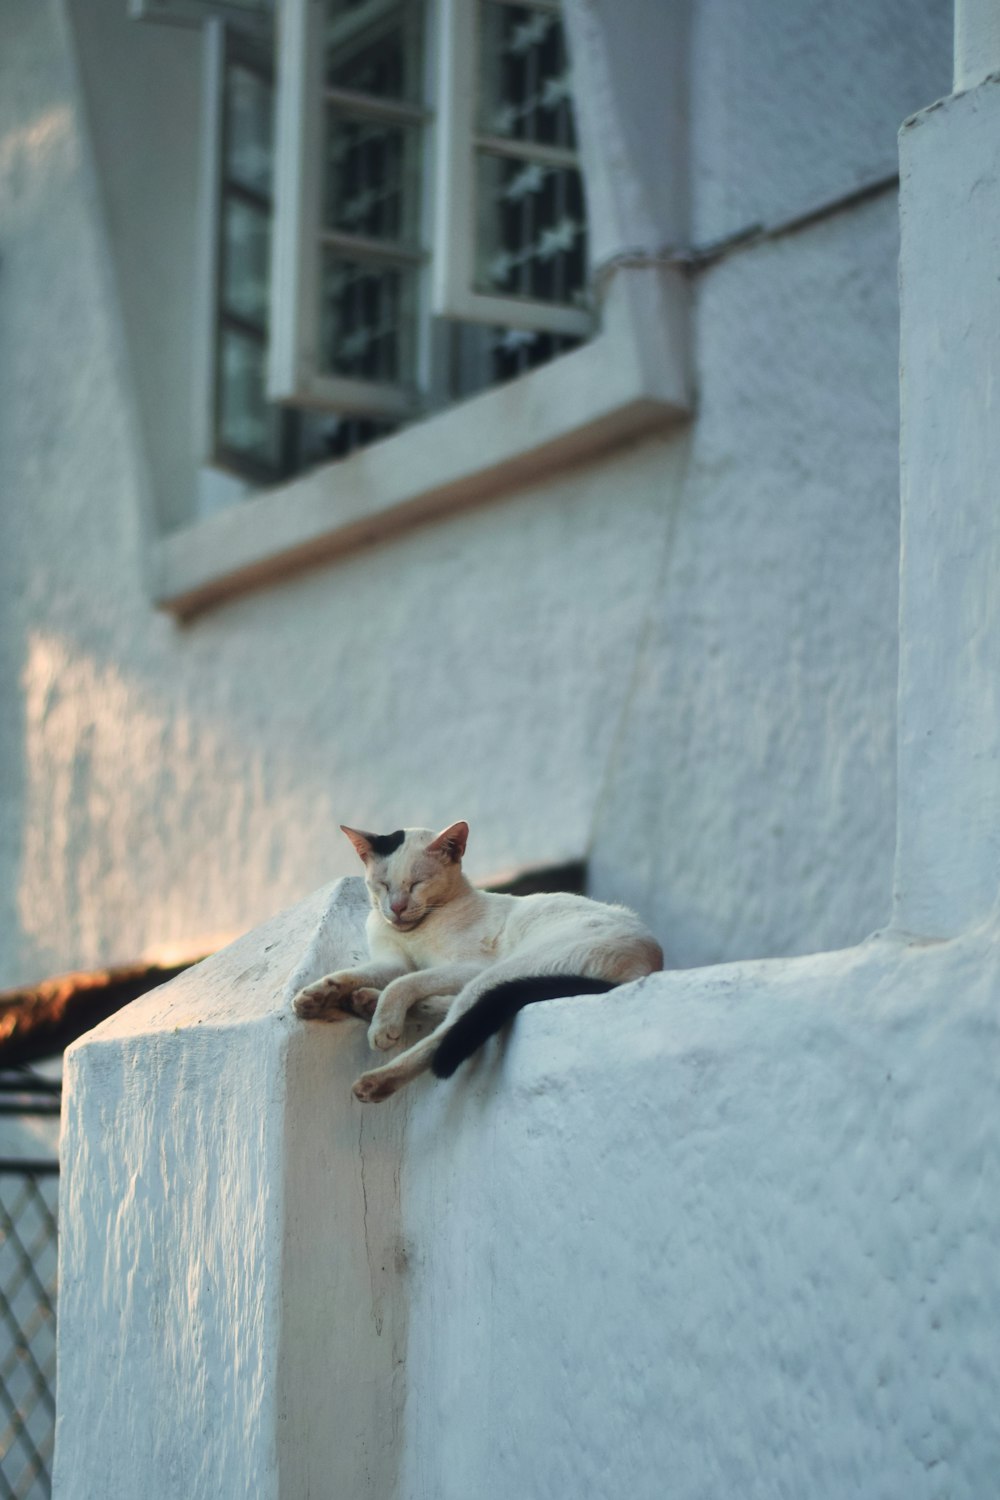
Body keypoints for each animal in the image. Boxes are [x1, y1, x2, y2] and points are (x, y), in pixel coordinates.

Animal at [290, 822, 665, 1104]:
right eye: (382, 885)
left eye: (417, 884)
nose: (396, 908)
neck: (415, 931)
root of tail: (650, 960)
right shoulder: (395, 962)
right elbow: (360, 974)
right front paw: (317, 995)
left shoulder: (467, 966)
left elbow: (404, 984)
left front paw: (384, 1027)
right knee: (449, 1011)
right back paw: (367, 1002)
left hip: (500, 972)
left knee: (448, 1029)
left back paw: (377, 1079)